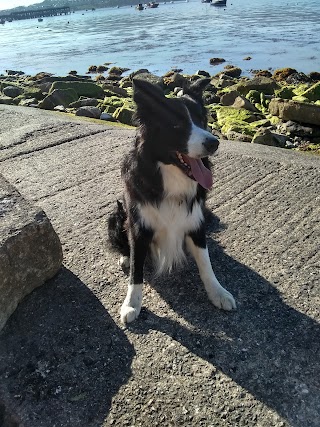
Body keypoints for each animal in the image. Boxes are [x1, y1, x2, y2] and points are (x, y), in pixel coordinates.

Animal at [109, 77, 236, 324]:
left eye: (202, 120)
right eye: (177, 125)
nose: (214, 143)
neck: (170, 177)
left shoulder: (196, 221)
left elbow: (205, 262)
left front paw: (218, 293)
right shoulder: (138, 226)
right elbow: (136, 271)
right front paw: (131, 304)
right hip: (116, 216)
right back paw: (125, 257)